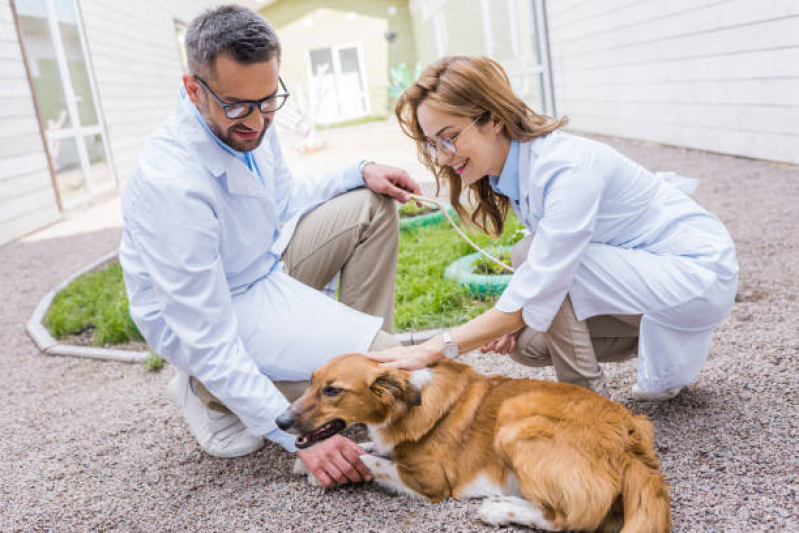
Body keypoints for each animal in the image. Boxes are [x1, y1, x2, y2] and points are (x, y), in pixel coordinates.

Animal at [278, 354, 672, 532]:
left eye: (333, 391)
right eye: (311, 382)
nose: (279, 421)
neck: (406, 402)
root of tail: (631, 446)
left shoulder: (430, 482)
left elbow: (368, 459)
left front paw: (324, 468)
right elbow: (372, 448)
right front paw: (307, 461)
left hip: (514, 422)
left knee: (568, 520)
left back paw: (499, 509)